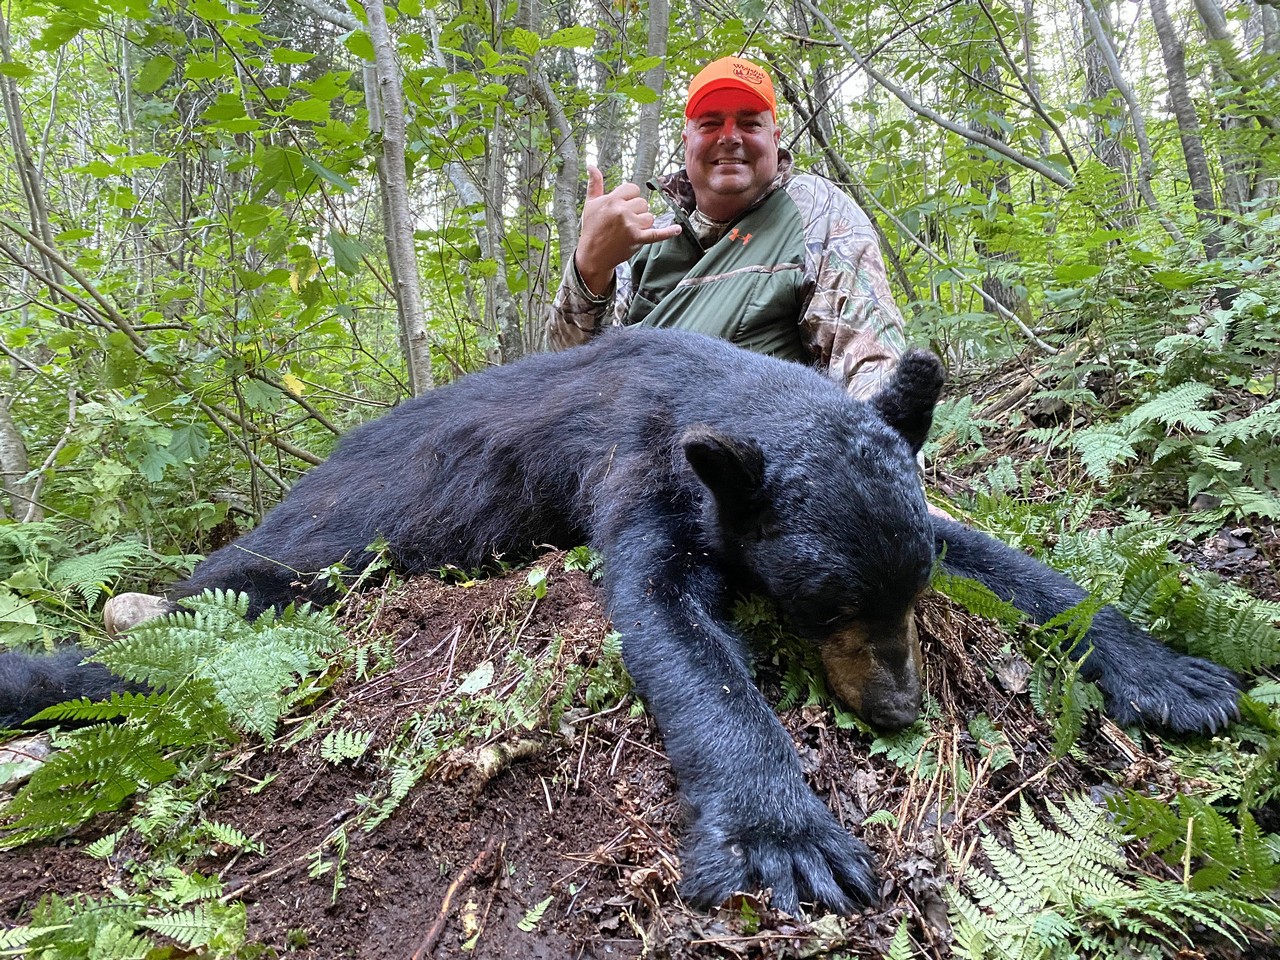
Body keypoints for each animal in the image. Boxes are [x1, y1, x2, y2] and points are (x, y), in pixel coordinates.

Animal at [0, 330, 1239, 916]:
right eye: (820, 605)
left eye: (903, 602)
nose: (895, 707)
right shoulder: (643, 476)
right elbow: (674, 632)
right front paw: (785, 836)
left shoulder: (898, 513)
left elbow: (1006, 562)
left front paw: (1171, 673)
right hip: (302, 559)